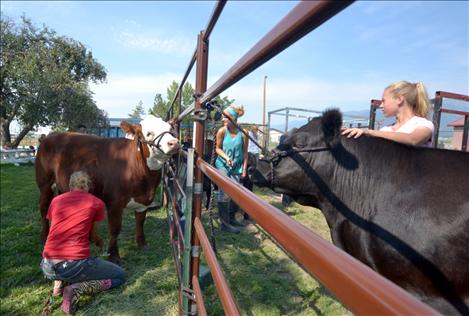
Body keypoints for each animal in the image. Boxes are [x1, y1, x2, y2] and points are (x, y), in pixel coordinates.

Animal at [35, 115, 179, 262]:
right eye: (149, 133)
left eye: (170, 129)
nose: (174, 143)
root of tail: (50, 136)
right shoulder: (114, 203)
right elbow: (115, 229)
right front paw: (114, 255)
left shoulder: (144, 200)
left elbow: (140, 221)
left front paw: (142, 244)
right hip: (44, 182)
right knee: (44, 206)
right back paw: (44, 236)